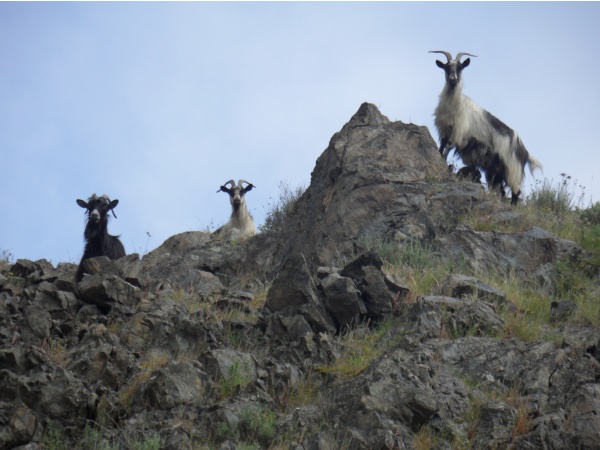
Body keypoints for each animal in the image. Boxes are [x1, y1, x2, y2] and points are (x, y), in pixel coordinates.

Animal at [428, 50, 540, 203]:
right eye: (446, 67)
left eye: (460, 67)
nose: (453, 80)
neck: (456, 105)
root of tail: (525, 152)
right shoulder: (445, 131)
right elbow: (441, 148)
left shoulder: (458, 134)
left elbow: (447, 149)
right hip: (495, 172)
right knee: (501, 191)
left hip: (513, 170)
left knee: (516, 193)